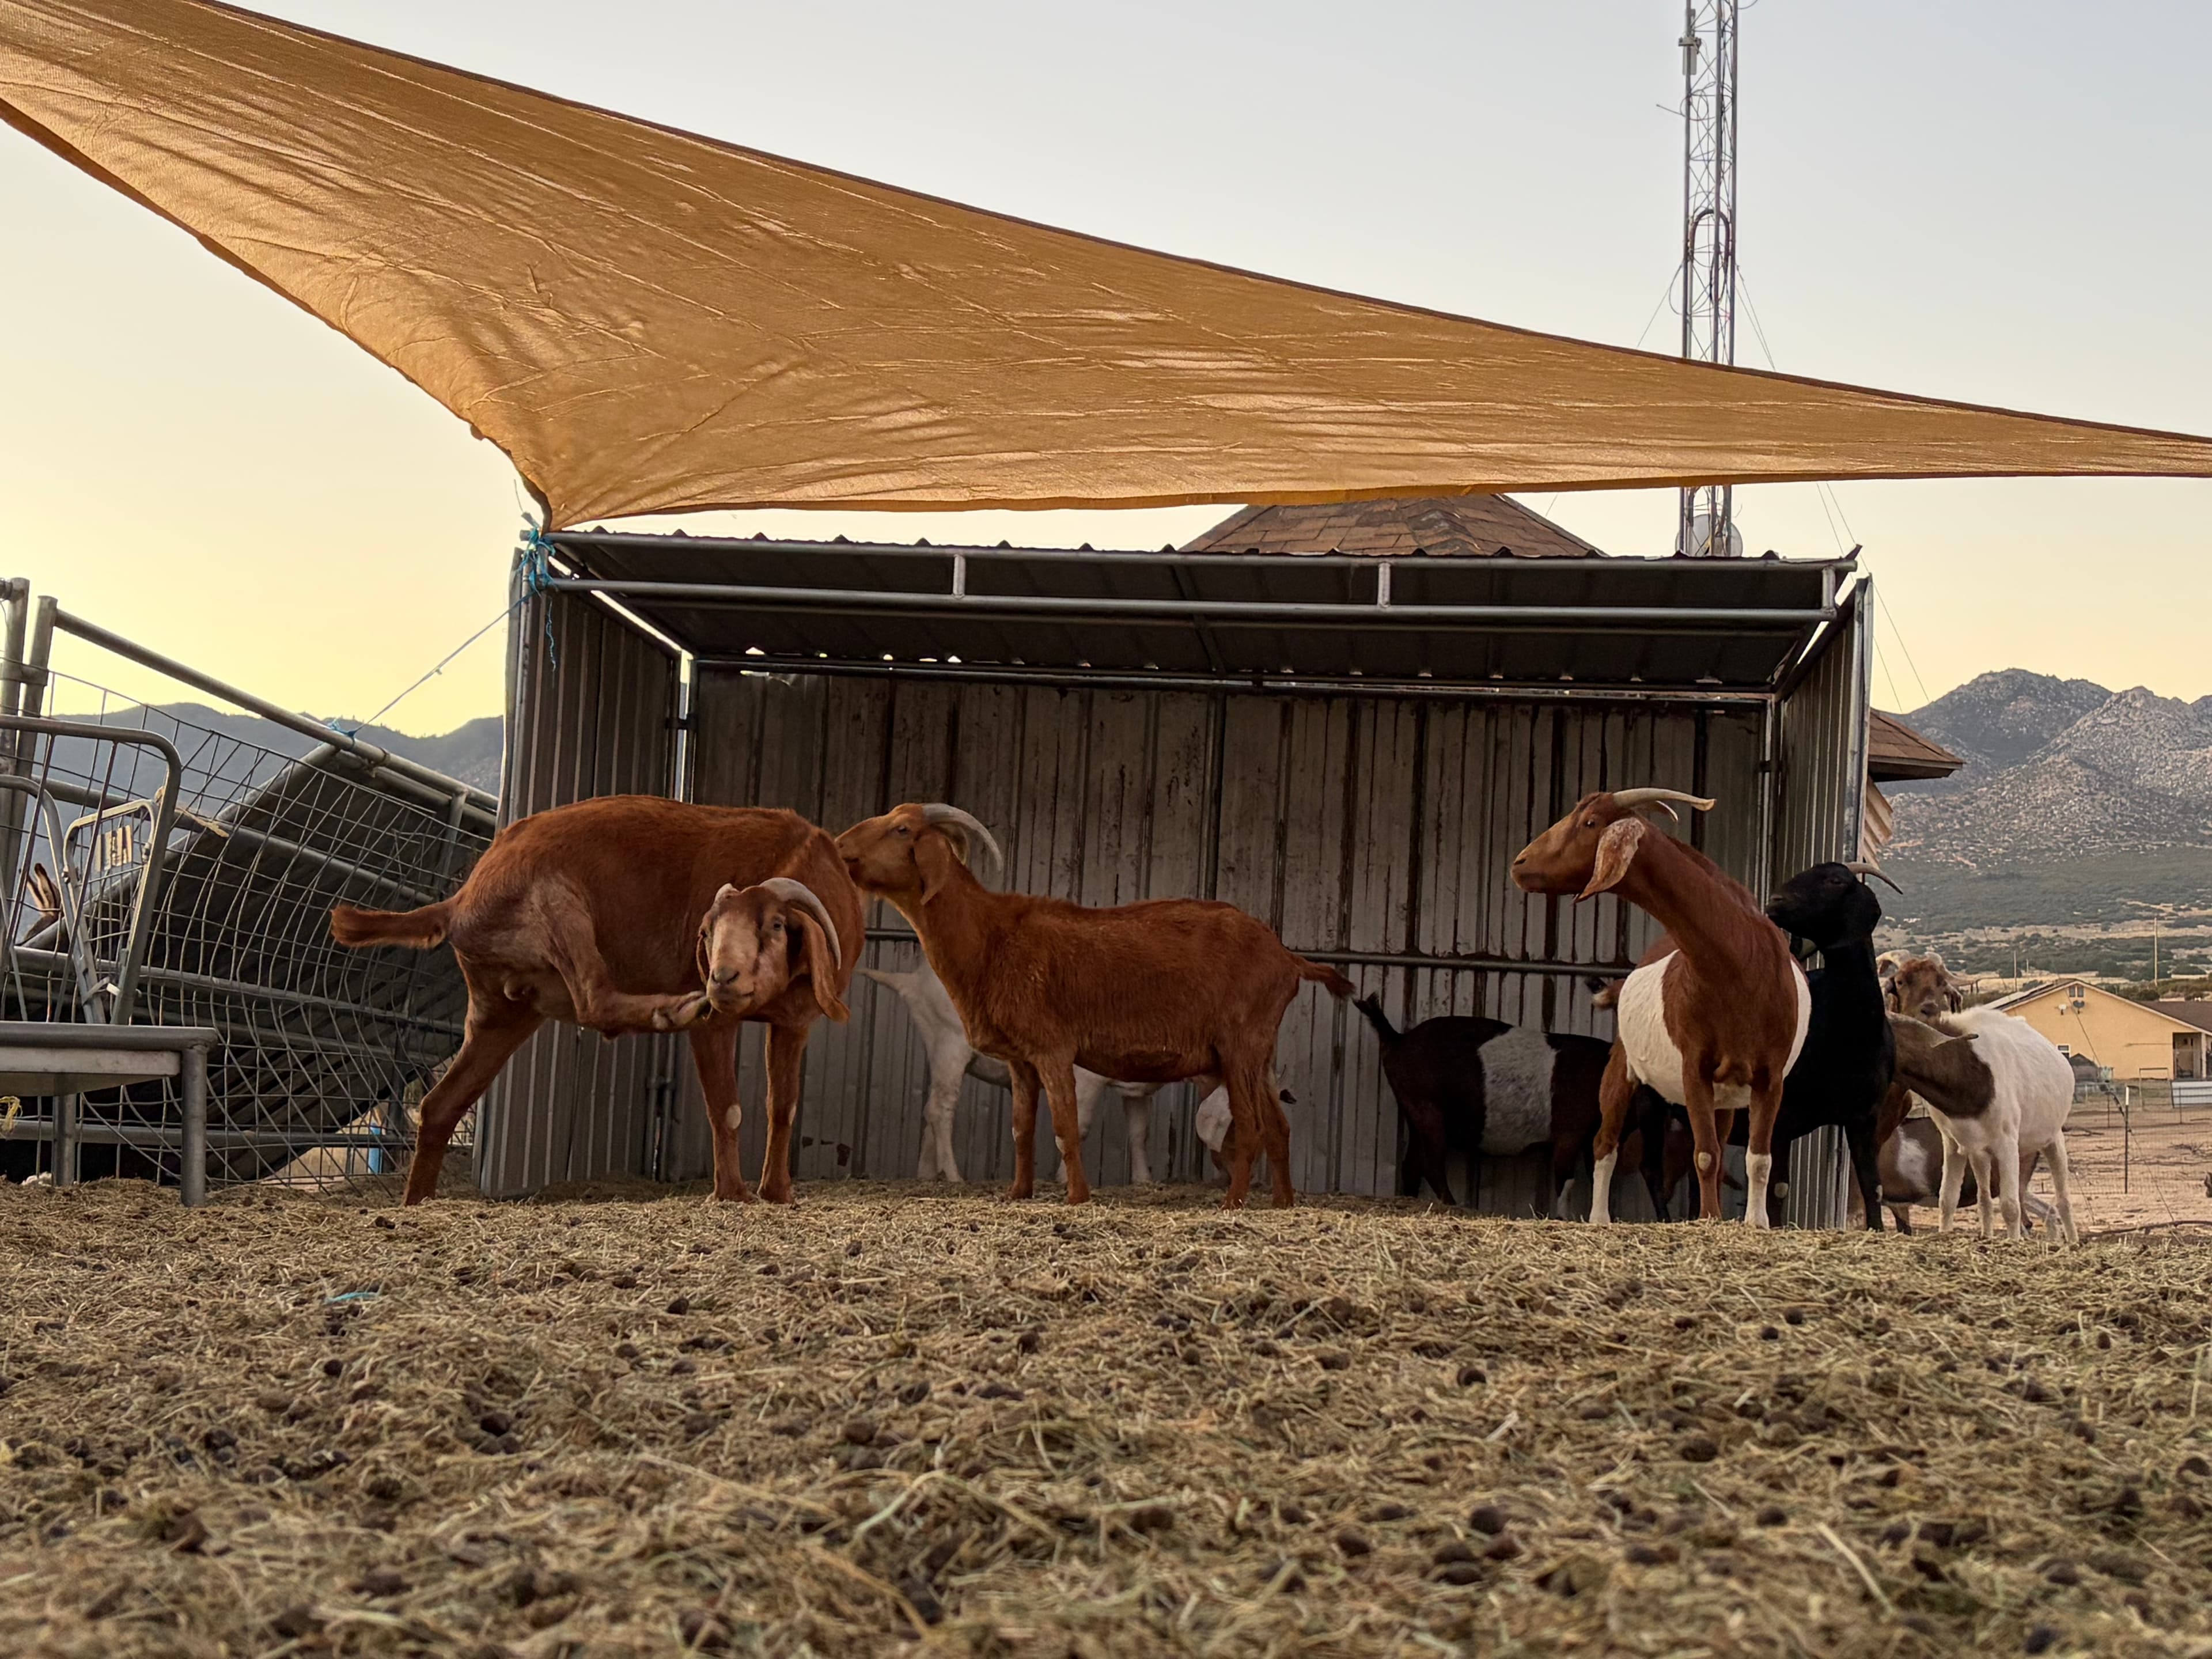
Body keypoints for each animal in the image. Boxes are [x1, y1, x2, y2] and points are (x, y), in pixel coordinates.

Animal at [331, 797, 860, 1206]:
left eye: (776, 925)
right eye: (707, 933)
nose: (721, 980)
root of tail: (459, 900)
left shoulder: (796, 1022)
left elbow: (783, 1107)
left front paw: (778, 1194)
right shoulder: (716, 1027)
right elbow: (726, 1107)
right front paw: (733, 1195)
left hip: (503, 1012)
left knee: (441, 1105)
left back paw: (417, 1203)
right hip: (559, 906)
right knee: (593, 999)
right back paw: (672, 1008)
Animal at [856, 959, 1170, 1184]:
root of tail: (913, 981)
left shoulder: (1137, 1091)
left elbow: (1139, 1133)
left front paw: (1144, 1181)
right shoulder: (1086, 1080)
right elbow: (1079, 1127)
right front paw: (1063, 1178)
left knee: (930, 1109)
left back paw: (927, 1175)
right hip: (951, 1045)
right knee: (940, 1110)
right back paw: (955, 1176)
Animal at [1511, 787, 1810, 1225]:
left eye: (1590, 822)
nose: (1519, 864)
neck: (1739, 959)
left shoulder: (1770, 1076)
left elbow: (1757, 1159)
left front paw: (1755, 1223)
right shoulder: (1694, 1068)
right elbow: (1704, 1155)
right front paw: (1708, 1220)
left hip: (1724, 1097)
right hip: (1623, 1067)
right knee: (1604, 1143)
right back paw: (1600, 1218)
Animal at [1889, 1011, 2079, 1243]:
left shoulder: (2007, 1144)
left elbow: (2010, 1206)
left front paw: (2014, 1243)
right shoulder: (1953, 1144)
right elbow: (1948, 1200)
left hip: (2051, 1140)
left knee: (2063, 1200)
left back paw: (2073, 1241)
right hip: (1980, 1155)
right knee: (1985, 1200)